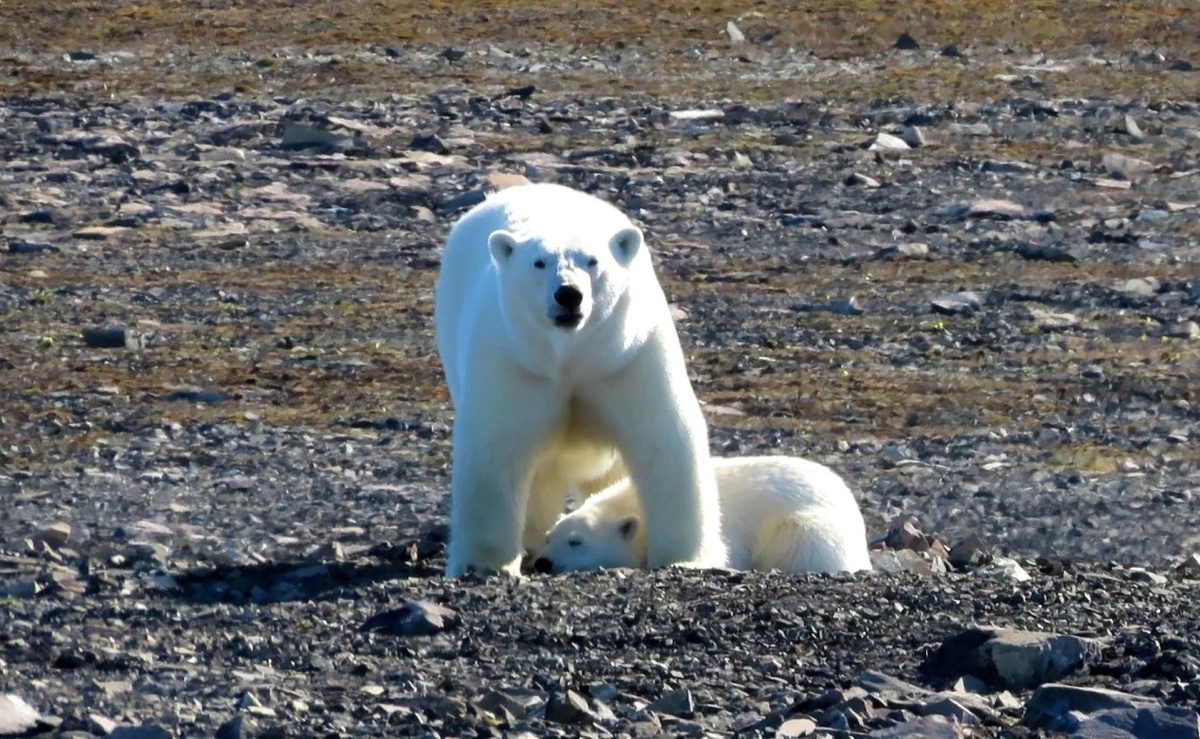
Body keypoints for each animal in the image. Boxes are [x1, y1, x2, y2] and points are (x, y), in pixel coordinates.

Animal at [436, 184, 724, 578]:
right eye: (539, 262)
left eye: (593, 261)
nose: (568, 294)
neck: (570, 357)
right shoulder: (516, 363)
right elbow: (496, 447)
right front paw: (484, 563)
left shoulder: (625, 357)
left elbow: (663, 439)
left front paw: (685, 557)